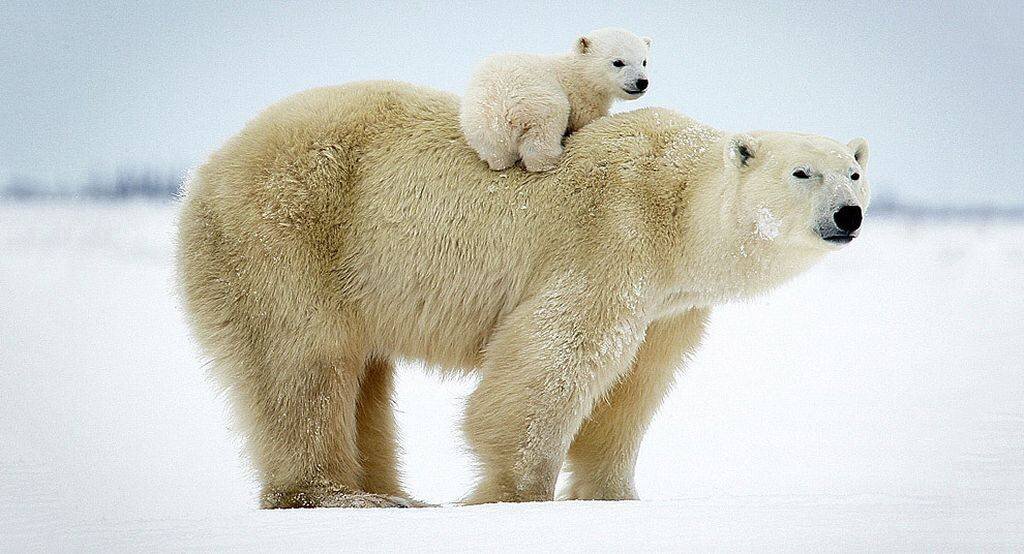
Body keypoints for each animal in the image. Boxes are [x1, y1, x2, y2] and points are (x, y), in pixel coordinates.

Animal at [178, 79, 872, 507]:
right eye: (802, 172)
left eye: (854, 171)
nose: (849, 214)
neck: (674, 206)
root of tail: (208, 167)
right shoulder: (611, 238)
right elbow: (556, 357)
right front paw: (516, 493)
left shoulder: (672, 305)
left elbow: (637, 385)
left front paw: (614, 496)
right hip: (287, 234)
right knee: (303, 362)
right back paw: (342, 496)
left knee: (363, 378)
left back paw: (392, 490)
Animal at [462, 27, 651, 171]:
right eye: (618, 62)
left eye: (644, 61)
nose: (642, 82)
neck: (579, 74)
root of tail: (502, 112)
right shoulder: (580, 99)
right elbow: (587, 120)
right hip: (539, 107)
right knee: (542, 140)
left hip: (479, 127)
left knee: (496, 153)